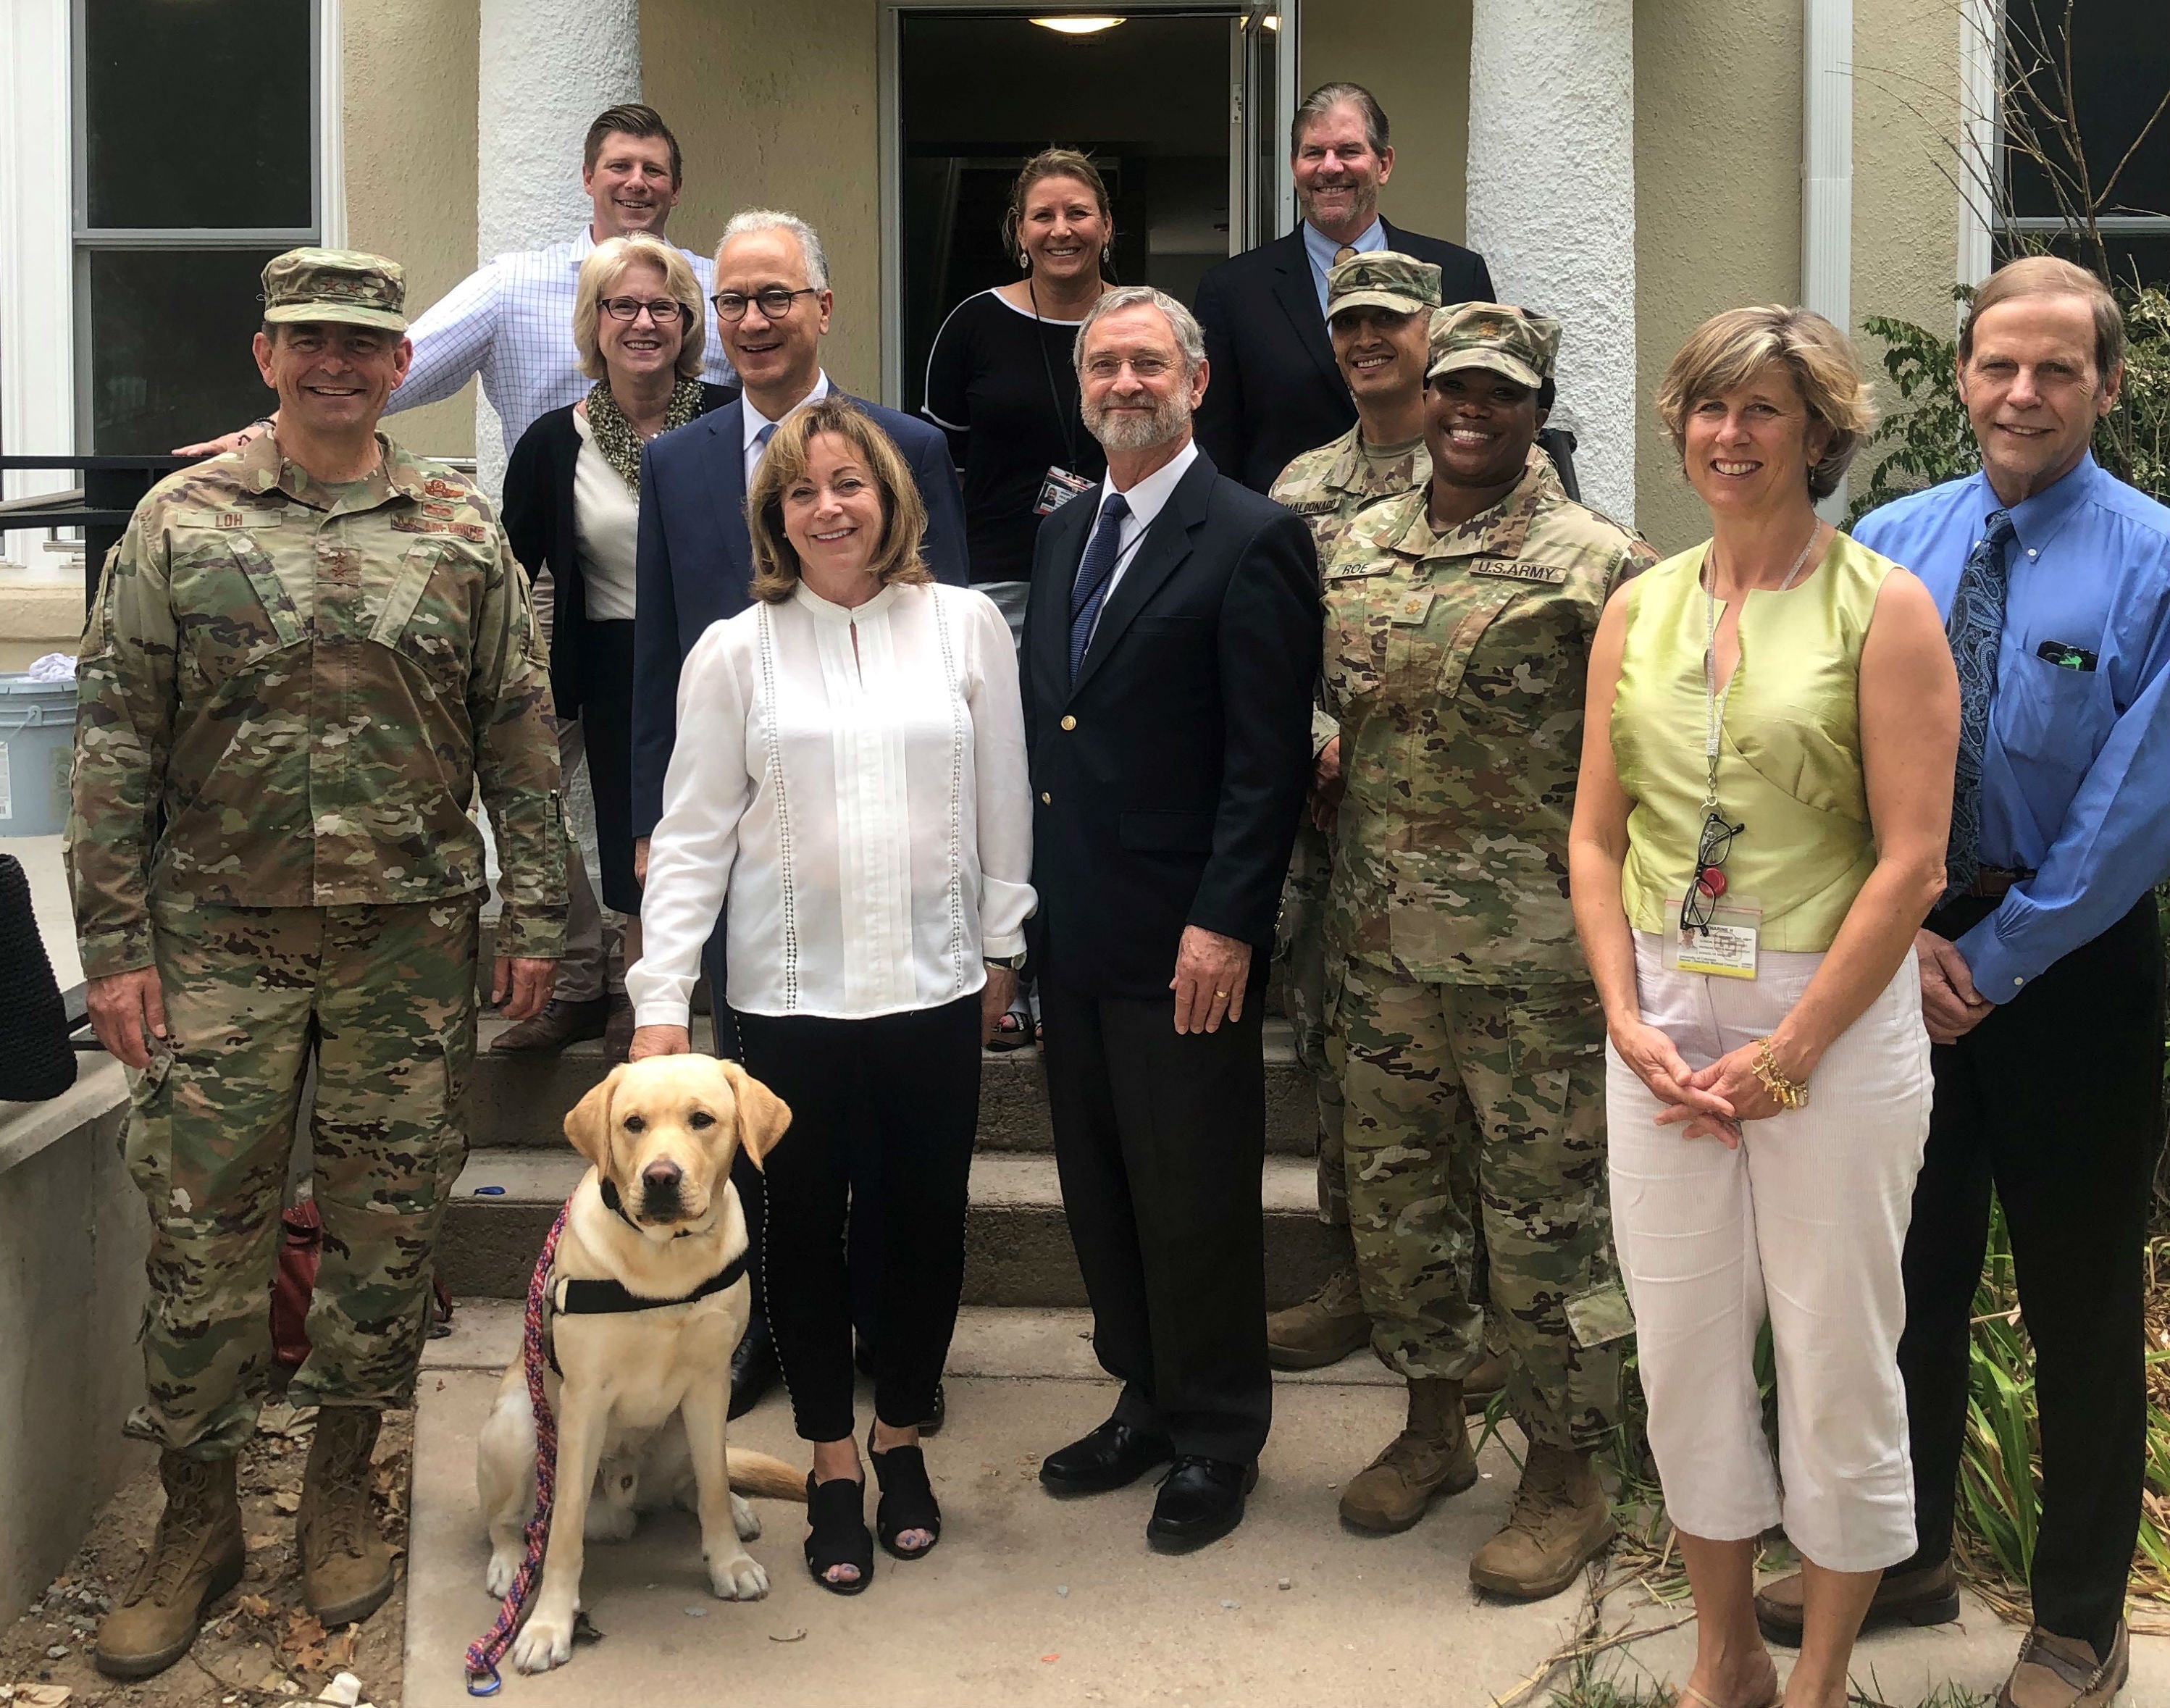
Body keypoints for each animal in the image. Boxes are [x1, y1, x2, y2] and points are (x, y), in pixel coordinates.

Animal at [475, 1055, 807, 1667]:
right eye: (633, 1123)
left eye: (702, 1120)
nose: (661, 1178)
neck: (667, 1258)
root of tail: (626, 1503)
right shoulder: (584, 1401)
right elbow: (561, 1534)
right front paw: (548, 1624)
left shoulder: (710, 1384)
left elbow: (714, 1484)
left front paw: (729, 1562)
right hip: (517, 1427)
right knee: (513, 1522)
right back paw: (510, 1565)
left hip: (683, 1428)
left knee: (696, 1483)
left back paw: (734, 1508)